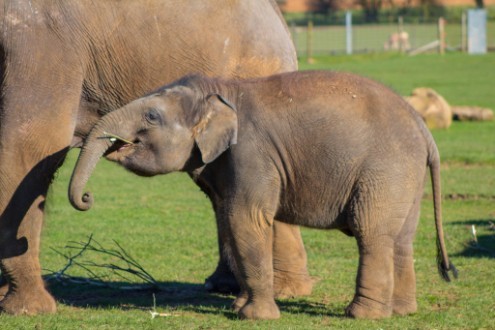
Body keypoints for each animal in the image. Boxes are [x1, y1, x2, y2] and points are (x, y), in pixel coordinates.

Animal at [0, 0, 312, 314]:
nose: (87, 197)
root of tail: (280, 20)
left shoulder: (43, 39)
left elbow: (32, 144)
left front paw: (26, 309)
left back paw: (284, 289)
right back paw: (226, 285)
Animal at [69, 71, 458, 320]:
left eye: (151, 116)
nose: (87, 197)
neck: (221, 90)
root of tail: (424, 129)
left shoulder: (252, 152)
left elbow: (246, 217)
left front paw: (255, 317)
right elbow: (231, 217)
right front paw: (238, 307)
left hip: (384, 170)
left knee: (372, 233)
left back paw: (362, 316)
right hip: (406, 176)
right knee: (401, 238)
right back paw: (402, 311)